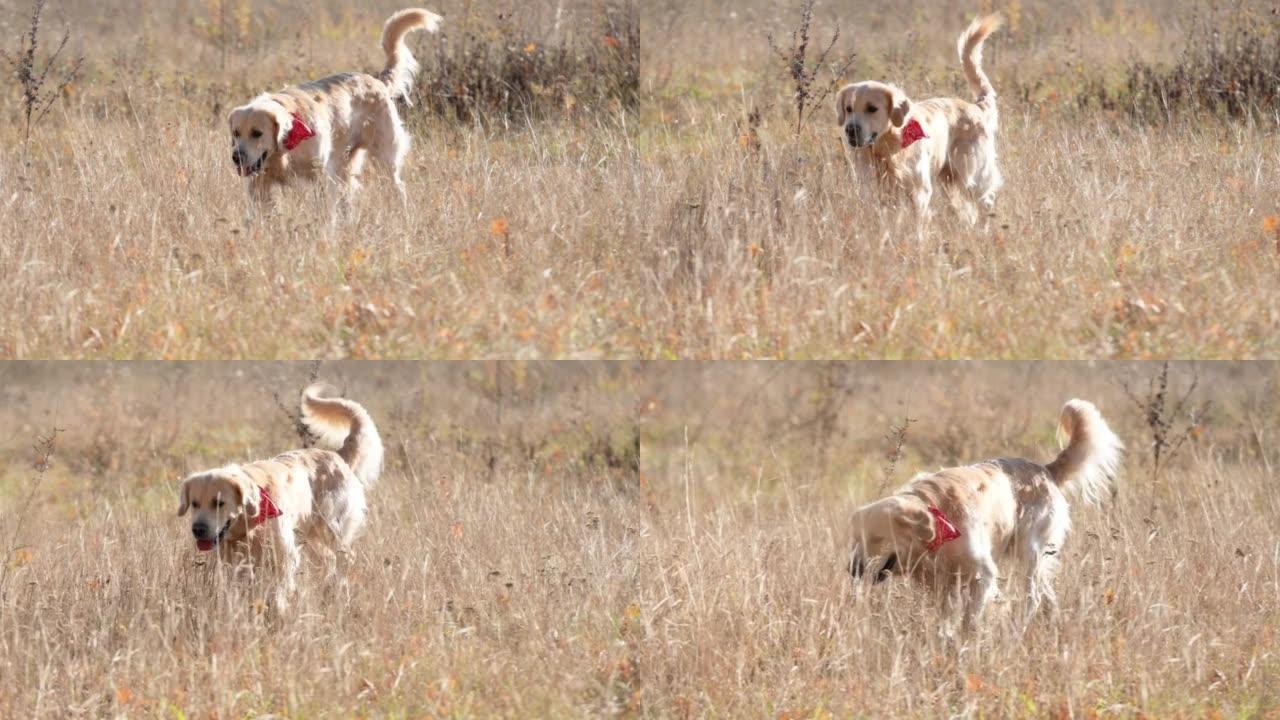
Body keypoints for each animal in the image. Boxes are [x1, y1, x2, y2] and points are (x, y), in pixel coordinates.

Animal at [177, 381, 381, 604]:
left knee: (345, 558)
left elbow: (279, 586)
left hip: (330, 526)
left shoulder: (283, 551)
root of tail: (336, 454)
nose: (198, 529)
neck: (250, 521)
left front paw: (278, 605)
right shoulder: (232, 556)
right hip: (312, 535)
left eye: (219, 502)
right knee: (328, 560)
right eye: (195, 504)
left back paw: (339, 593)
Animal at [230, 8, 445, 212]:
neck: (285, 148)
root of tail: (377, 80)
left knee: (398, 188)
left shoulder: (320, 177)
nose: (236, 157)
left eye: (257, 133)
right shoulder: (259, 184)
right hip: (346, 168)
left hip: (384, 159)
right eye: (236, 133)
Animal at [834, 14, 1003, 224]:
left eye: (872, 108)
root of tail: (976, 106)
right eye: (848, 109)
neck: (887, 149)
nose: (850, 130)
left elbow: (917, 222)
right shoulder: (872, 190)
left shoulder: (919, 191)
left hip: (971, 175)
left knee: (985, 201)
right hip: (950, 182)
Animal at [849, 397, 1121, 627]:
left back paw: (1018, 629)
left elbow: (970, 618)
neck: (939, 519)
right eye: (856, 539)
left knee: (1032, 597)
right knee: (1047, 596)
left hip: (1030, 552)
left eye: (877, 538)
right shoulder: (943, 586)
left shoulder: (983, 574)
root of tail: (1045, 469)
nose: (853, 569)